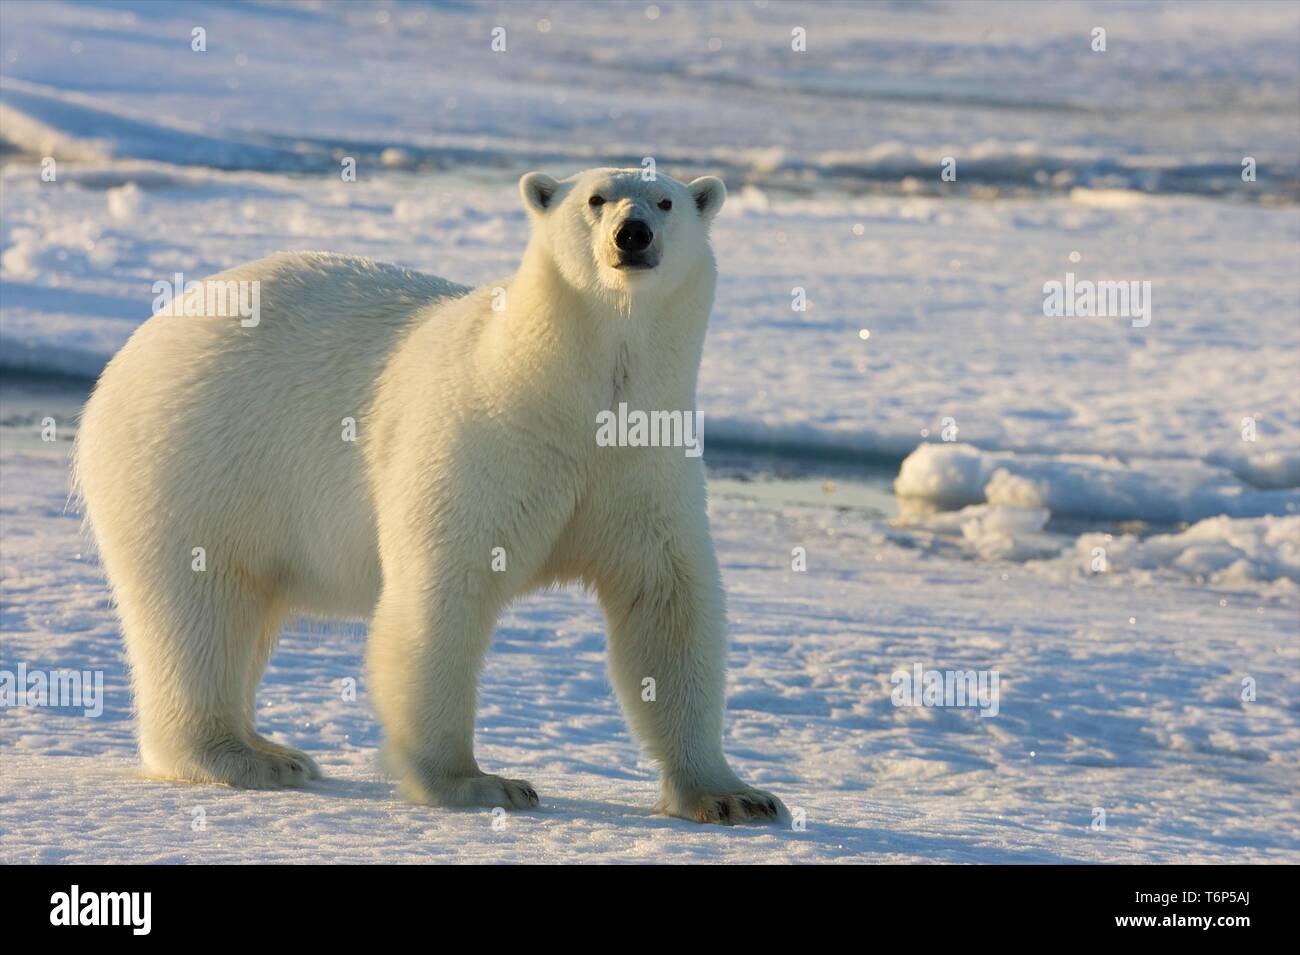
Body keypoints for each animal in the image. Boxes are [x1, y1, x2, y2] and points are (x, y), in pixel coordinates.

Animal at [76, 167, 785, 826]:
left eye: (665, 201)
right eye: (595, 199)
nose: (632, 235)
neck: (568, 390)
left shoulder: (644, 463)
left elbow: (666, 603)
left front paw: (734, 796)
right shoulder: (486, 440)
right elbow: (443, 592)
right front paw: (478, 783)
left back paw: (270, 744)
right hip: (196, 460)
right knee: (200, 606)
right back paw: (244, 757)